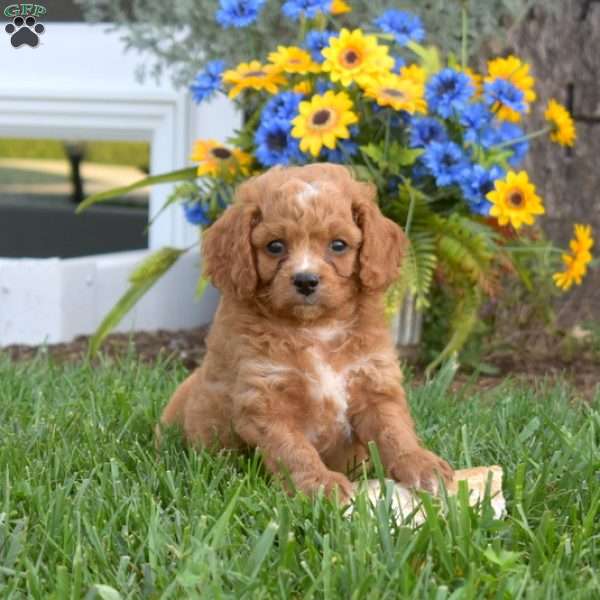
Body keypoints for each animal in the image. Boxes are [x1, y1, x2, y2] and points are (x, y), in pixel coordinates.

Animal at [159, 162, 450, 500]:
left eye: (338, 245)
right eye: (275, 246)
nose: (306, 280)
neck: (316, 328)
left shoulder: (374, 383)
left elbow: (395, 430)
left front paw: (422, 465)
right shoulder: (264, 398)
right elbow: (294, 450)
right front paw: (321, 484)